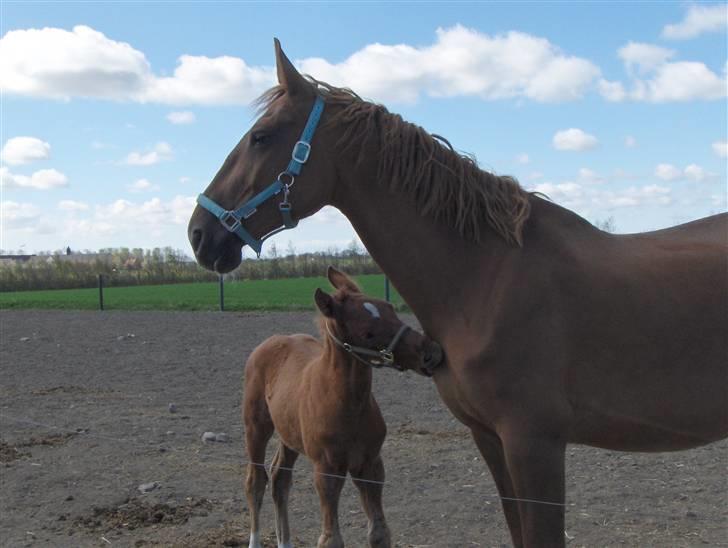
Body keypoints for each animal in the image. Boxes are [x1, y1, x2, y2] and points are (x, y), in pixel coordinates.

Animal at [242, 266, 440, 548]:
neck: (348, 405)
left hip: (289, 435)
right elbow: (331, 539)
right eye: (368, 332)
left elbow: (379, 533)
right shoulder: (326, 470)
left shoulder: (370, 464)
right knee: (255, 482)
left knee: (280, 479)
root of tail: (272, 341)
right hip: (256, 427)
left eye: (390, 308)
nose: (430, 353)